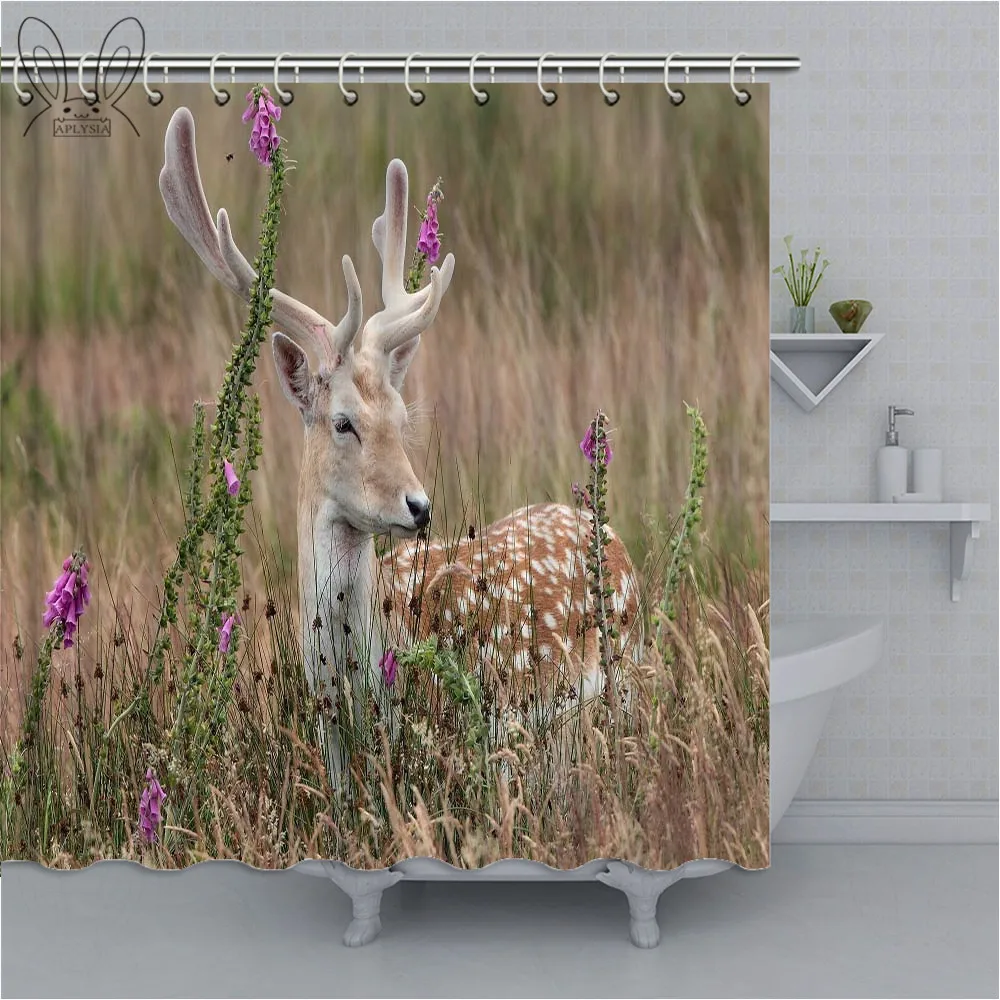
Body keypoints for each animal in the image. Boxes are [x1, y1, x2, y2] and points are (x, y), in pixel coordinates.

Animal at [159, 106, 643, 788]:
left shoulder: (482, 739)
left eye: (400, 415)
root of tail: (607, 533)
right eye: (343, 422)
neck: (351, 693)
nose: (420, 506)